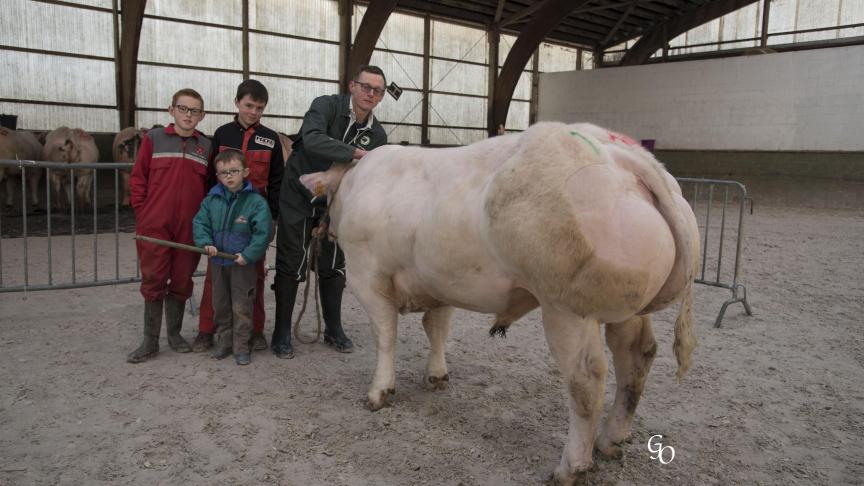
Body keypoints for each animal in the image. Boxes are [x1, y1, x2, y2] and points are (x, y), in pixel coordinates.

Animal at [304, 121, 704, 482]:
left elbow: (385, 334)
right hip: (626, 307)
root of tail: (619, 153)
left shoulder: (366, 275)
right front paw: (436, 375)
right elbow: (437, 328)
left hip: (567, 308)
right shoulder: (440, 279)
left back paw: (571, 467)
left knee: (587, 379)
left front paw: (379, 392)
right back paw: (611, 439)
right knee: (636, 357)